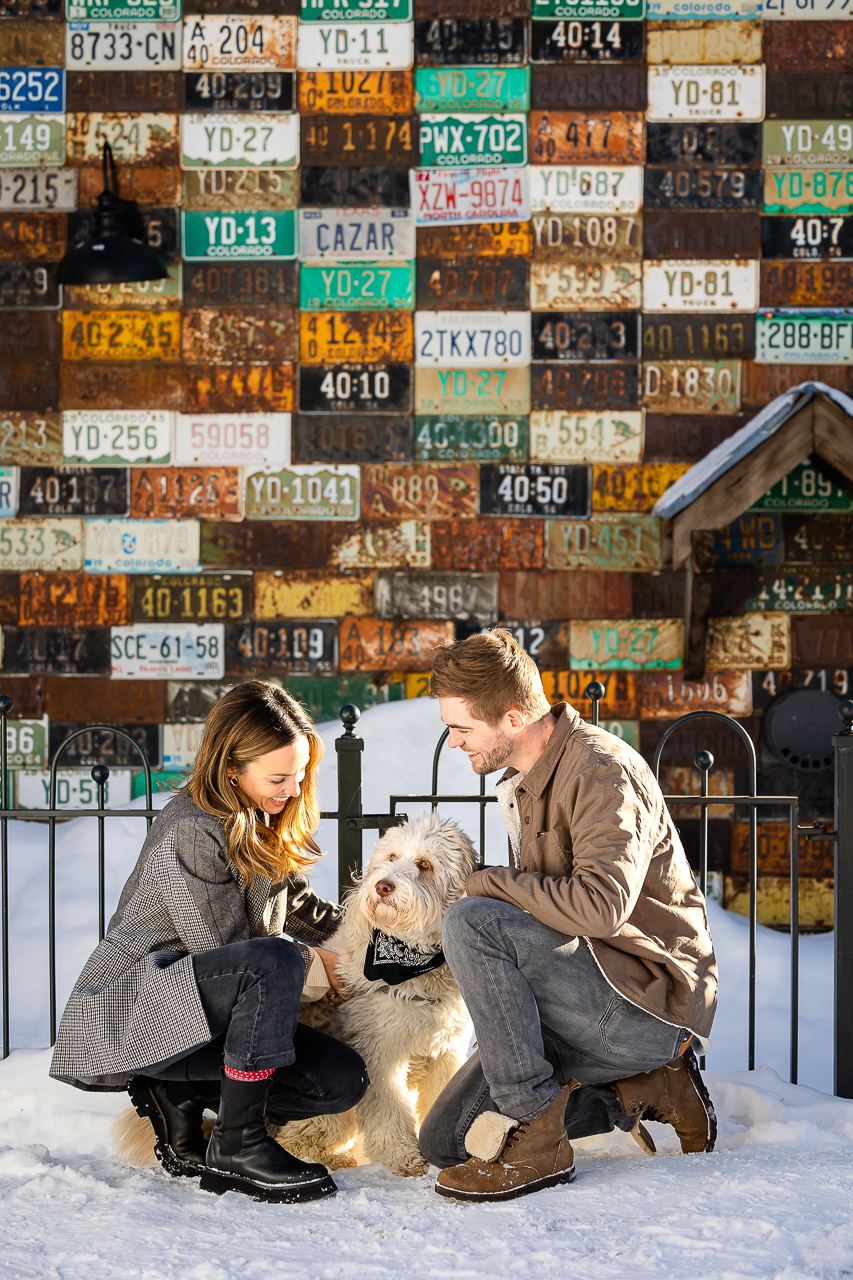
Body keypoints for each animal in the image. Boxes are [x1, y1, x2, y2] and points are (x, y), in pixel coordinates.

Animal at [280, 814, 473, 1172]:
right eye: (392, 857)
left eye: (425, 864)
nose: (383, 886)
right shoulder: (379, 1051)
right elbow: (389, 1109)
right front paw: (404, 1156)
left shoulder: (445, 1051)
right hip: (330, 1111)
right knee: (296, 1139)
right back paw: (334, 1157)